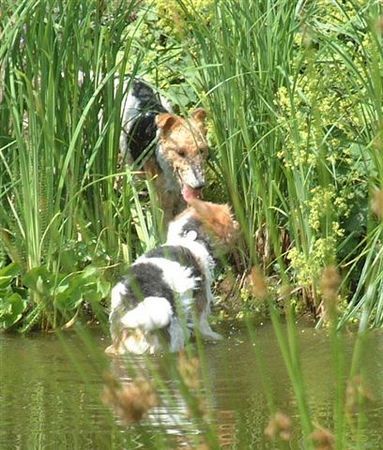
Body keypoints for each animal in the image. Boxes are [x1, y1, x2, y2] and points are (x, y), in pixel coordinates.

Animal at [105, 199, 237, 354]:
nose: (237, 225)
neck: (188, 239)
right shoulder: (201, 301)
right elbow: (204, 326)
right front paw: (215, 337)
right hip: (174, 334)